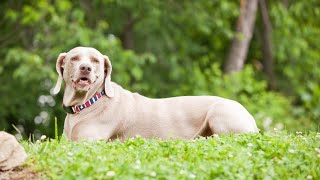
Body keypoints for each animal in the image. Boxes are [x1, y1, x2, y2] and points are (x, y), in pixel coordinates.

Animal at [52, 47, 258, 141]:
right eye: (74, 58)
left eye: (95, 60)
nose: (85, 68)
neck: (88, 102)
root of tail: (252, 119)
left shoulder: (87, 141)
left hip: (219, 112)